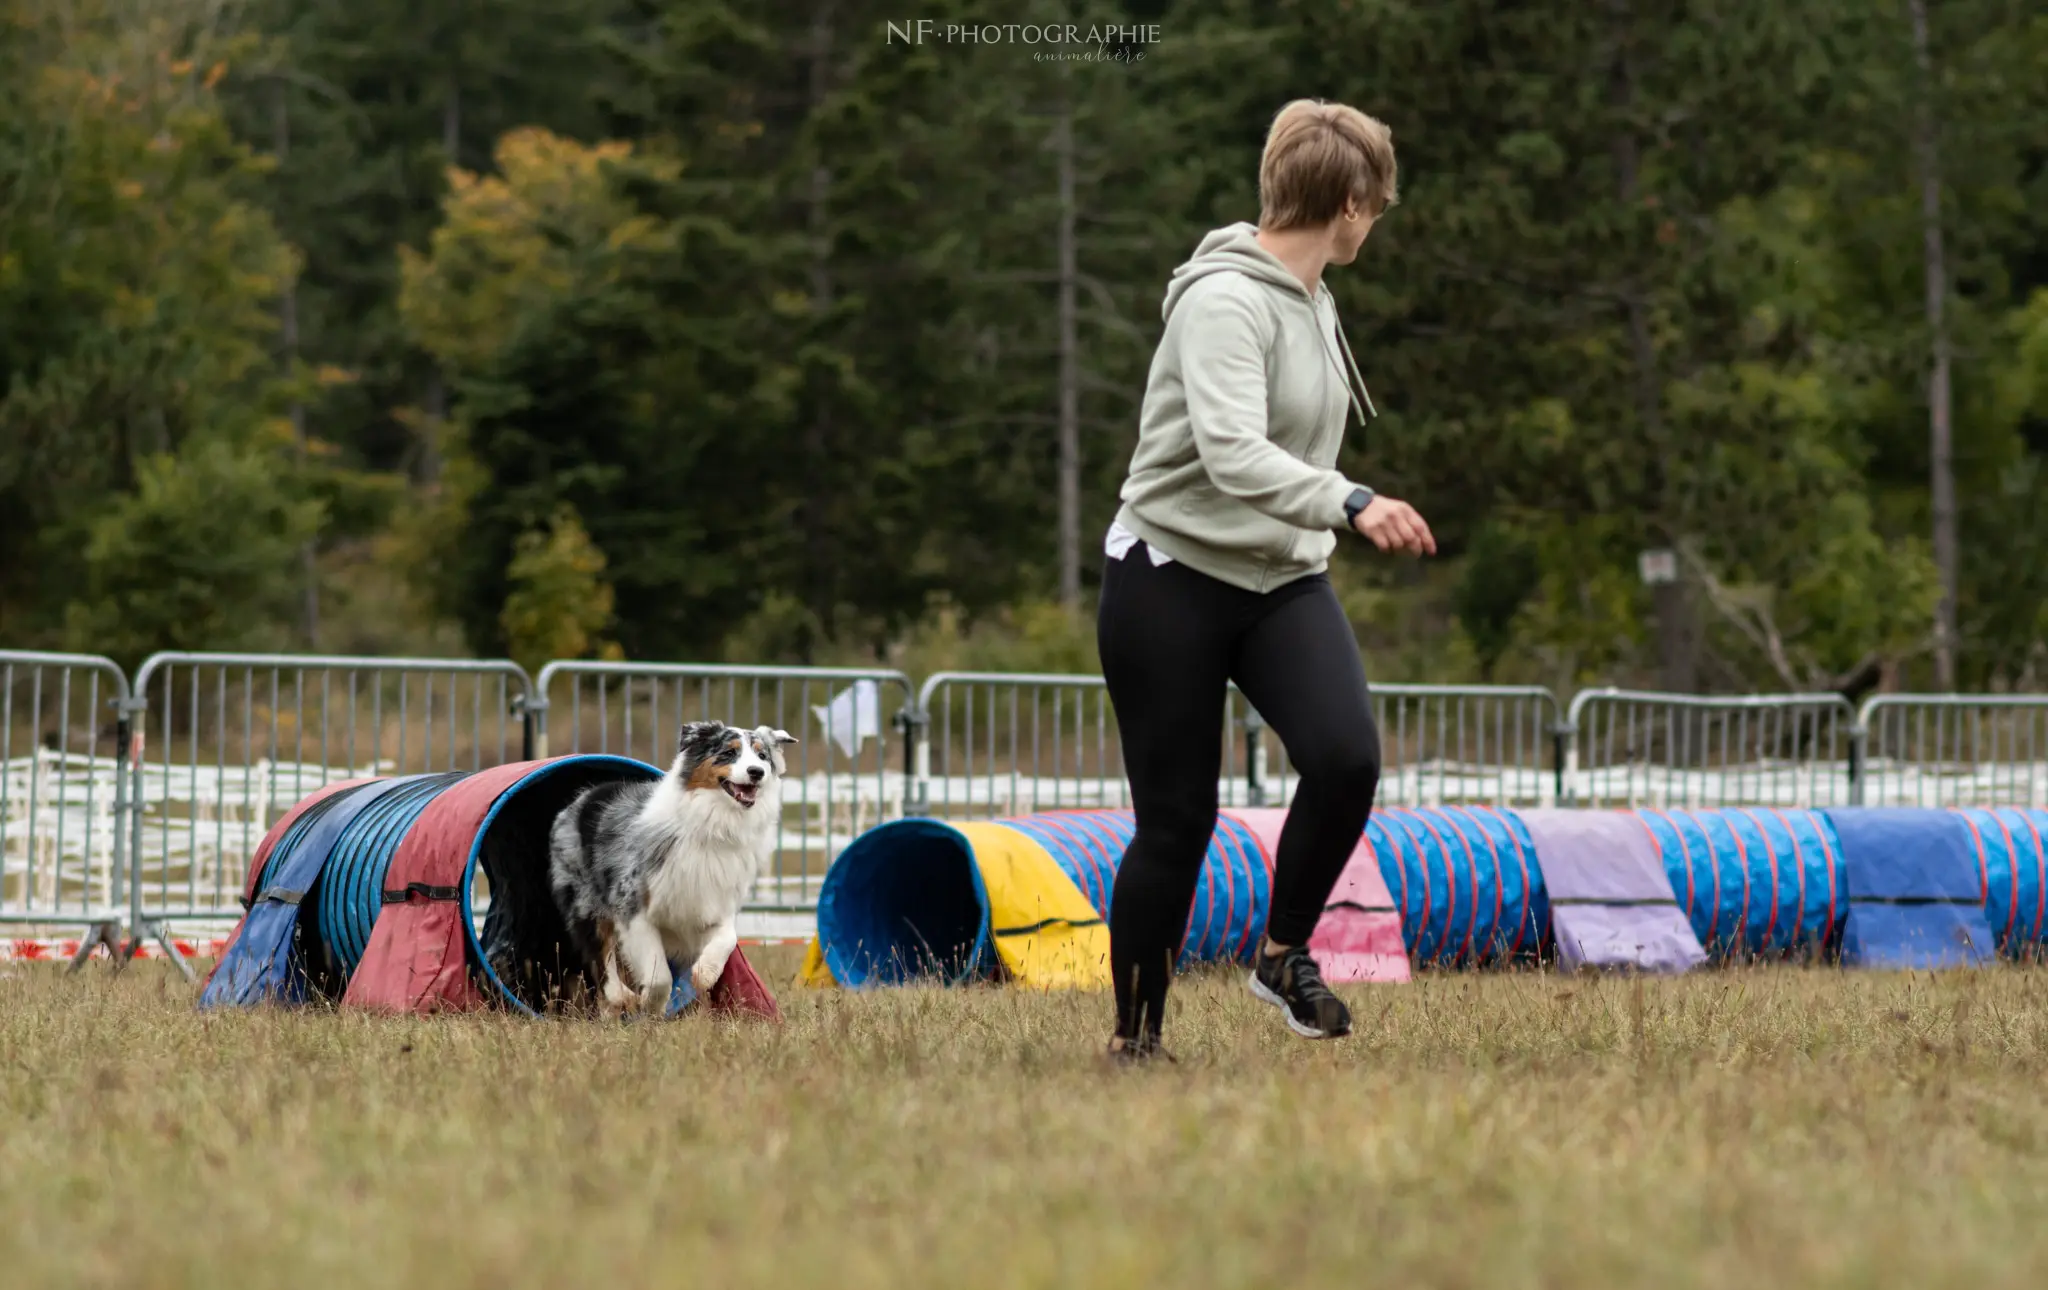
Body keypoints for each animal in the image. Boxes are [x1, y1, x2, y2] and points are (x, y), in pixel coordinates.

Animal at [552, 724, 790, 1015]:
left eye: (762, 756)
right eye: (729, 752)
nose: (756, 772)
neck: (714, 824)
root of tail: (586, 794)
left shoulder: (710, 905)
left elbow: (728, 938)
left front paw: (704, 974)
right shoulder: (634, 909)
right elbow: (658, 976)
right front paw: (651, 1005)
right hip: (586, 904)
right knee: (601, 957)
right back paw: (622, 996)